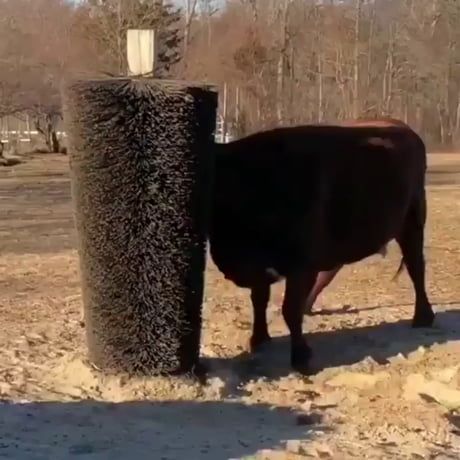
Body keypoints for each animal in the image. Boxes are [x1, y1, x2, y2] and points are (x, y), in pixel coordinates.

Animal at [210, 117, 434, 374]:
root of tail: (401, 126)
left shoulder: (301, 265)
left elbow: (289, 309)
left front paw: (301, 356)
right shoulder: (262, 267)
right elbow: (259, 300)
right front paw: (259, 339)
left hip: (412, 222)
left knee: (416, 267)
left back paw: (423, 317)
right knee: (329, 273)